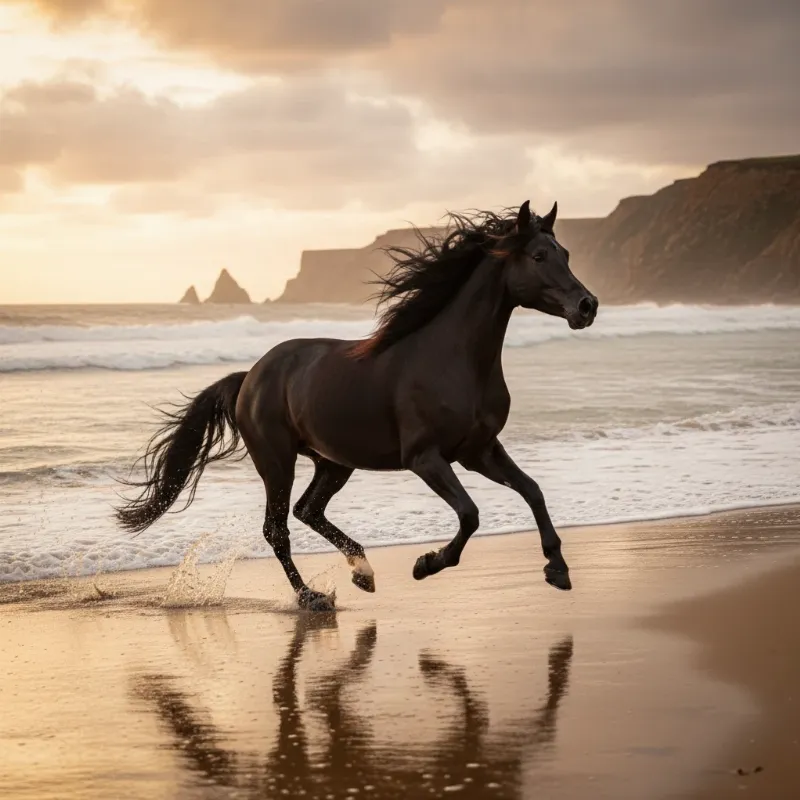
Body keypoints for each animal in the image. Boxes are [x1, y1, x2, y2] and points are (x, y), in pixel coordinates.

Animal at [116, 200, 598, 611]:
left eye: (566, 253)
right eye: (539, 256)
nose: (587, 305)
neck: (454, 359)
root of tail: (249, 377)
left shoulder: (479, 451)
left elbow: (532, 490)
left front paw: (557, 569)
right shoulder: (426, 458)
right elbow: (470, 514)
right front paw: (426, 564)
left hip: (333, 462)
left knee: (307, 510)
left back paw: (362, 572)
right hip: (277, 462)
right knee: (277, 528)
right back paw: (312, 597)